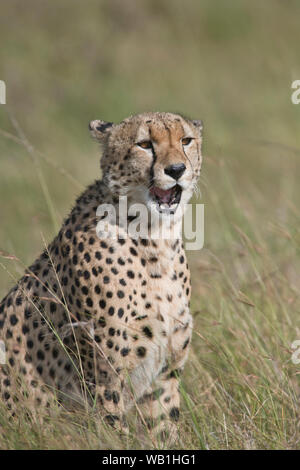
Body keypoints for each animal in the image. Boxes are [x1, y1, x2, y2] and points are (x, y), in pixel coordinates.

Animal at [0, 112, 203, 446]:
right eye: (144, 144)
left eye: (186, 140)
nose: (176, 170)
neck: (155, 238)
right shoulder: (104, 379)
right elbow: (115, 432)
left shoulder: (164, 376)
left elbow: (162, 431)